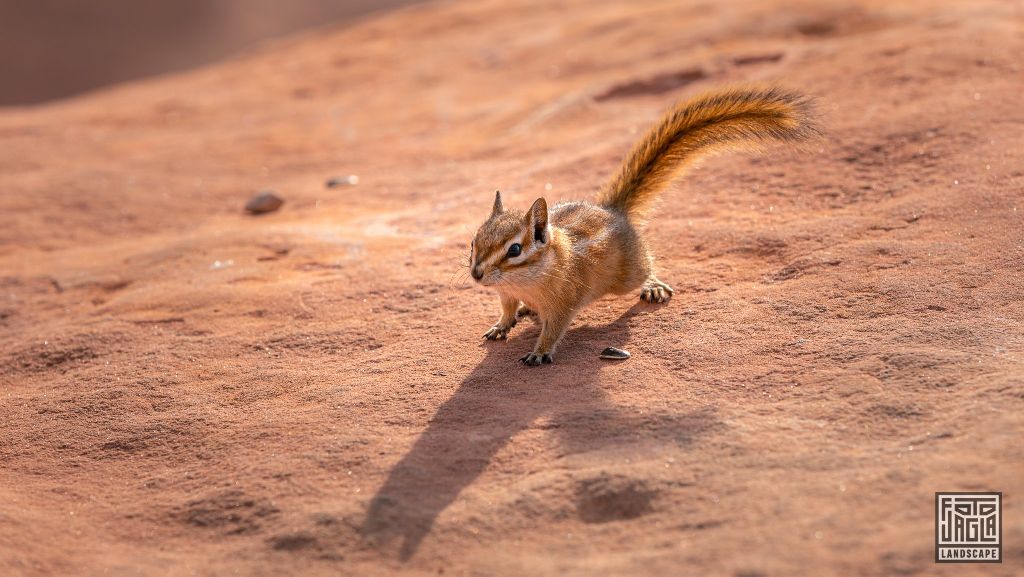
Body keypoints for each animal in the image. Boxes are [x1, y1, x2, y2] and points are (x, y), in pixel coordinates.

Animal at [469, 87, 818, 365]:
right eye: (474, 242)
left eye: (515, 249)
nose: (476, 273)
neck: (525, 279)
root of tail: (613, 210)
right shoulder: (506, 294)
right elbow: (507, 309)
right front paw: (501, 325)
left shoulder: (563, 304)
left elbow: (553, 330)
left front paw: (539, 352)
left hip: (626, 276)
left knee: (645, 269)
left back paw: (653, 286)